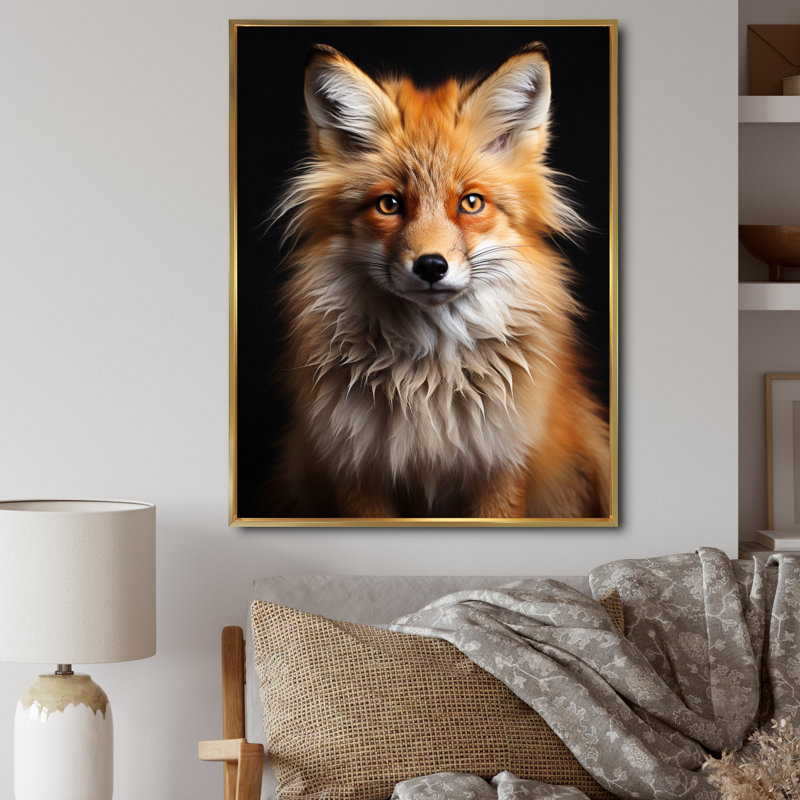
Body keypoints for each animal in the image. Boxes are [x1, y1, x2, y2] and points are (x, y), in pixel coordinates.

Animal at [272, 41, 611, 519]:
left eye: (471, 203)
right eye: (389, 204)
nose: (431, 266)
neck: (428, 382)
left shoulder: (502, 465)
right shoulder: (355, 467)